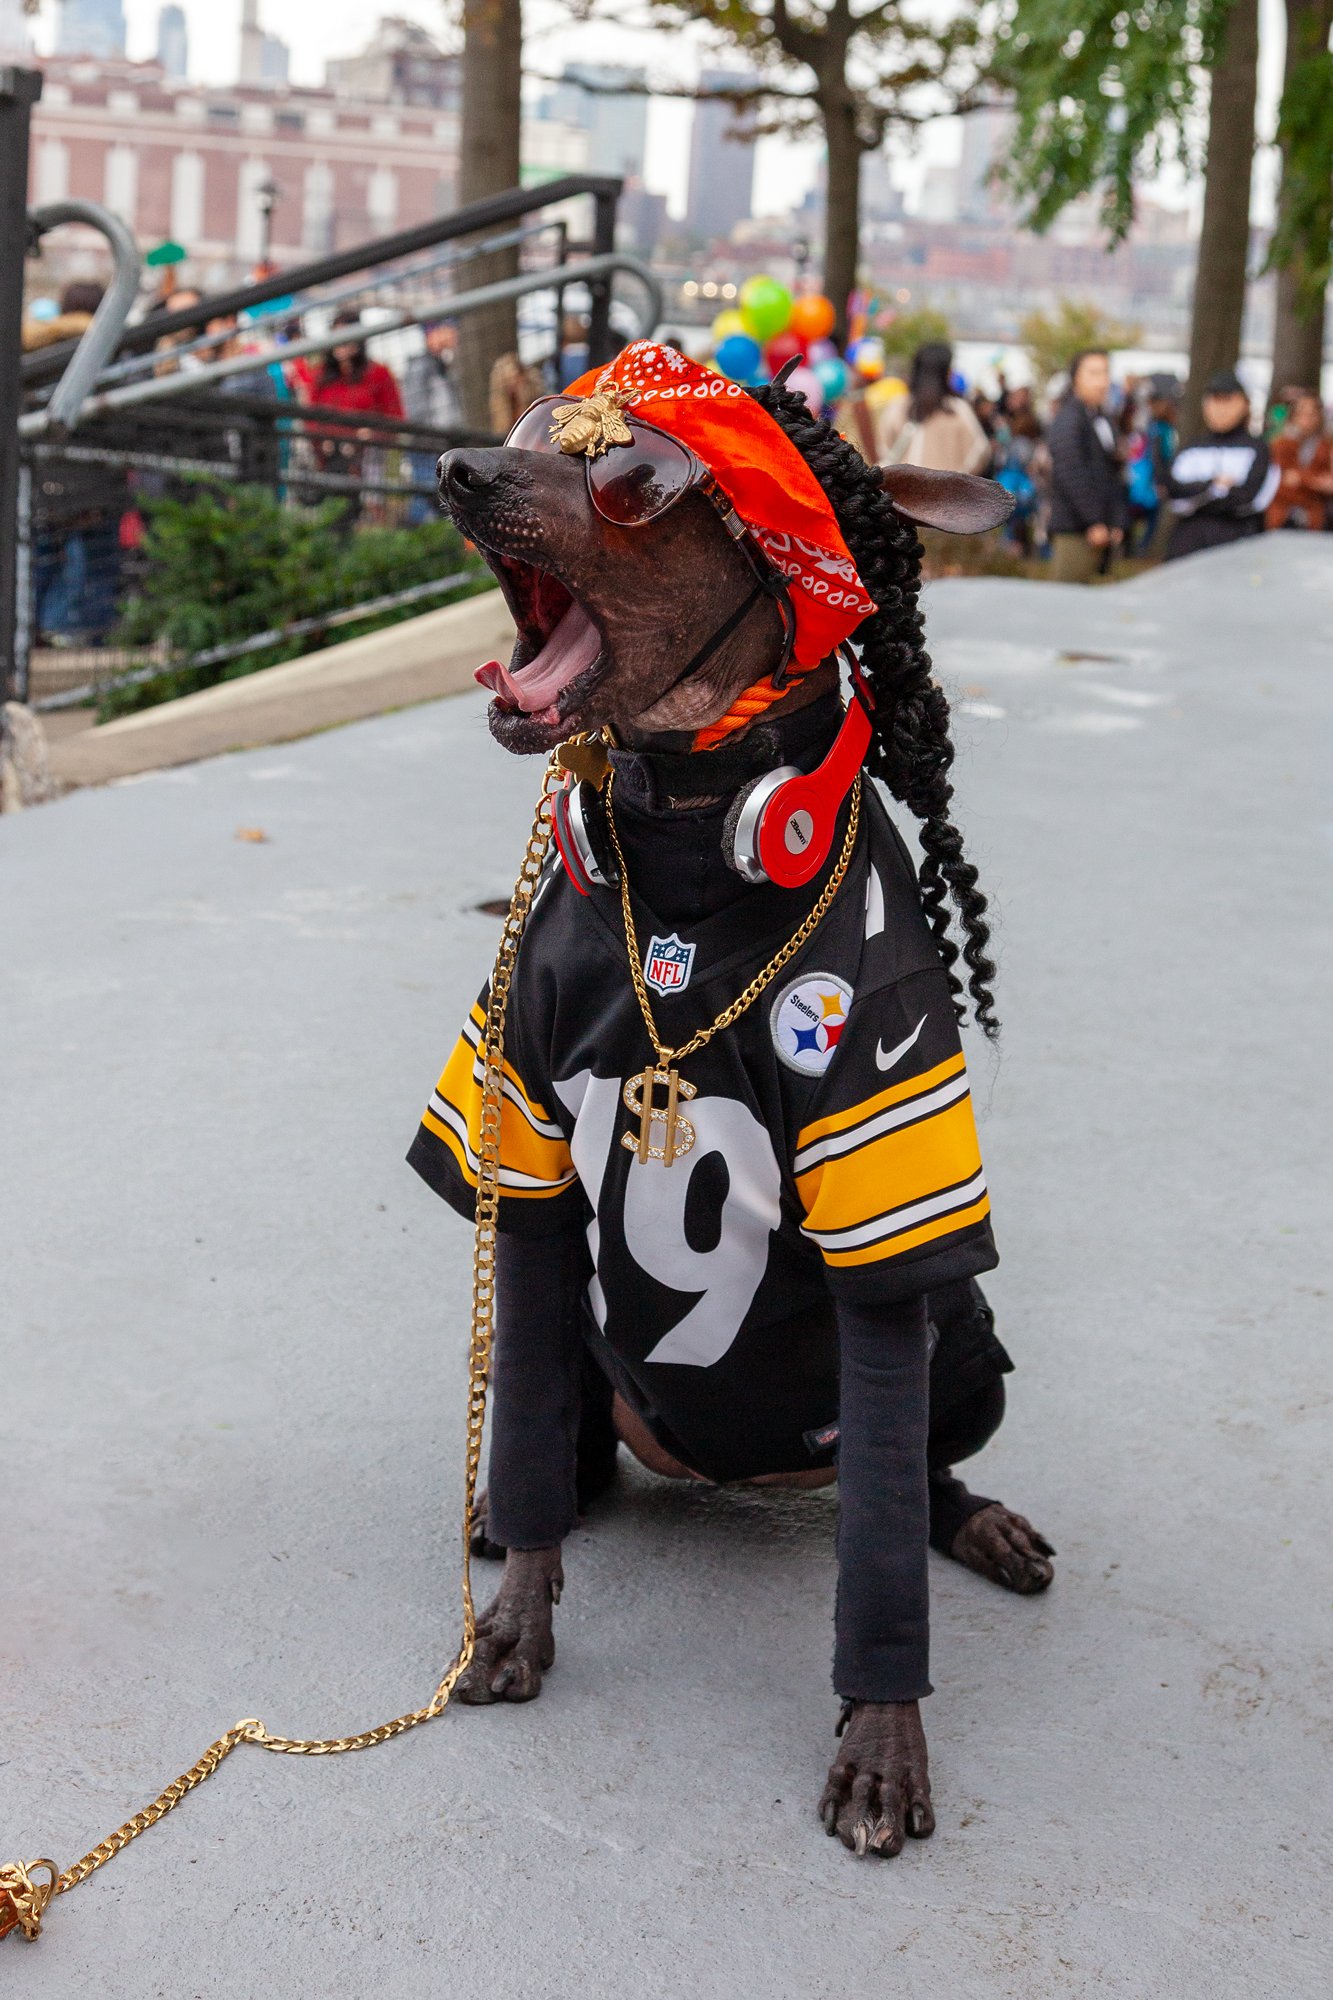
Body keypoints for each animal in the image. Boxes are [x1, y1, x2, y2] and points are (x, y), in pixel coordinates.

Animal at [410, 344, 1056, 1856]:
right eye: (538, 427)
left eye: (633, 479)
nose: (460, 467)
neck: (693, 844)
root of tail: (740, 1479)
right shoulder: (528, 1166)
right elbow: (530, 1456)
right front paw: (516, 1618)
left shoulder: (886, 1202)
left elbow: (880, 1559)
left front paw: (882, 1738)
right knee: (557, 1450)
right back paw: (515, 1512)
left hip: (965, 1340)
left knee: (911, 1480)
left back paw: (979, 1521)